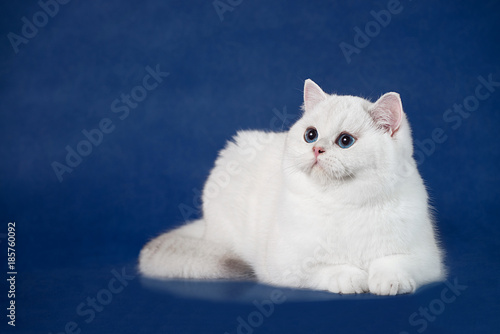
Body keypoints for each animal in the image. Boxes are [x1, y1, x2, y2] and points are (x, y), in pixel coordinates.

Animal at [138, 78, 446, 294]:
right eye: (311, 135)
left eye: (345, 141)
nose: (317, 150)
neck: (344, 201)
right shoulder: (289, 265)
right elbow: (331, 270)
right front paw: (354, 279)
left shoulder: (426, 258)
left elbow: (391, 263)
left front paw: (386, 283)